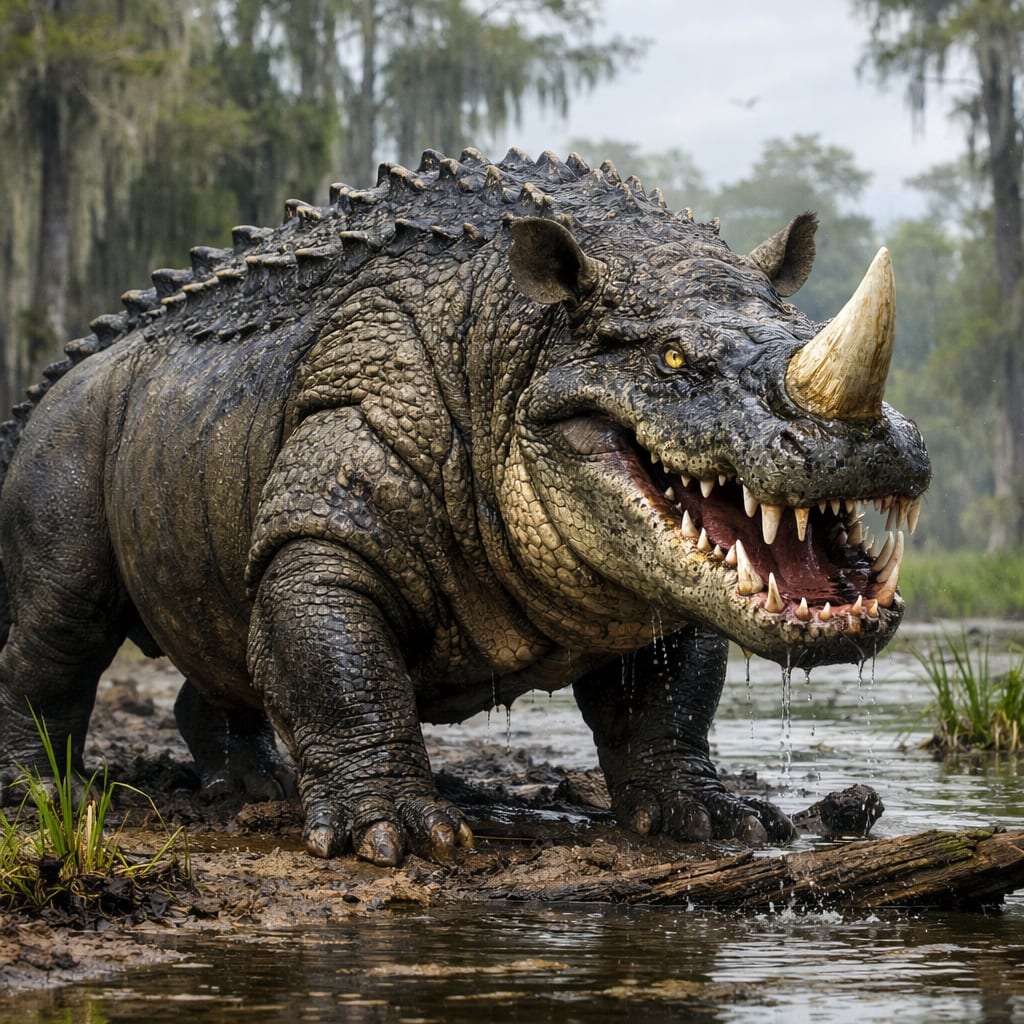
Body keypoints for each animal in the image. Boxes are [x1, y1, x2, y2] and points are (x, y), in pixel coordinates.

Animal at [0, 148, 929, 866]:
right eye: (670, 359)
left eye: (803, 329)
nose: (867, 445)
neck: (517, 333)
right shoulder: (346, 461)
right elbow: (336, 647)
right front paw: (392, 832)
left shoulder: (663, 573)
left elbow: (671, 693)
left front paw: (707, 814)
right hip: (79, 415)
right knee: (66, 614)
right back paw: (39, 791)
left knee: (223, 633)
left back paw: (257, 786)